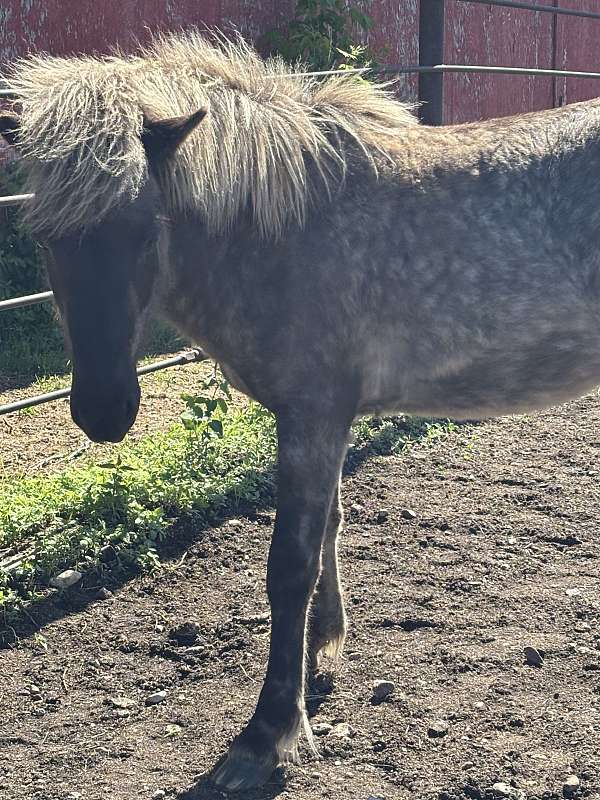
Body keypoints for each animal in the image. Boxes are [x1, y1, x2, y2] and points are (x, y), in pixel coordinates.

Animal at [3, 30, 600, 791]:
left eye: (145, 230)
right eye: (45, 235)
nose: (104, 411)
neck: (284, 231)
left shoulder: (311, 414)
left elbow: (290, 566)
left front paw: (268, 731)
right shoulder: (327, 419)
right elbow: (328, 533)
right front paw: (323, 654)